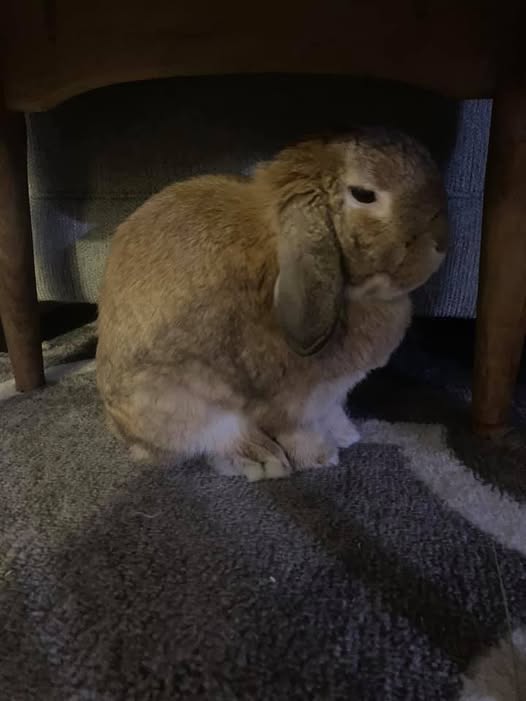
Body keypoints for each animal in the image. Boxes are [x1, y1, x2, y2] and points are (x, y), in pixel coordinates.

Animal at [96, 129, 448, 481]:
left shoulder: (329, 396)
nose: (441, 242)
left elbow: (332, 412)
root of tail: (121, 430)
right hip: (183, 399)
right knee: (214, 437)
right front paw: (321, 457)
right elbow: (296, 429)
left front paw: (347, 435)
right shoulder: (291, 400)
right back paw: (263, 460)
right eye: (364, 194)